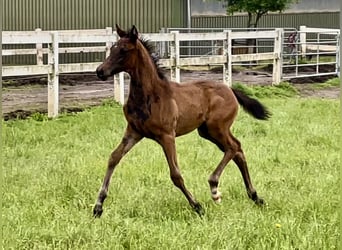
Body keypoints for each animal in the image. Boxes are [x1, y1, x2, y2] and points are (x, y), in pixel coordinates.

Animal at [93, 24, 270, 218]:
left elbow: (175, 174)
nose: (100, 71)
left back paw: (215, 188)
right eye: (112, 49)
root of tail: (230, 89)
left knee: (234, 147)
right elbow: (113, 158)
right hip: (207, 131)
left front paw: (197, 206)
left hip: (217, 128)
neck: (150, 95)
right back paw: (254, 196)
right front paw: (98, 206)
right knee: (236, 150)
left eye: (124, 50)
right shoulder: (134, 131)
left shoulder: (167, 136)